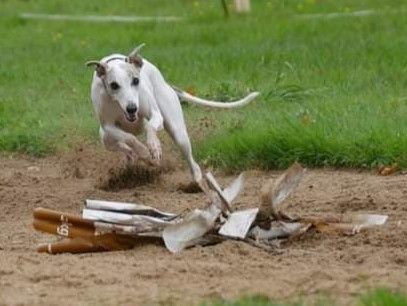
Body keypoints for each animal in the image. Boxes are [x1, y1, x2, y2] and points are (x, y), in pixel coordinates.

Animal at [87, 44, 260, 186]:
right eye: (114, 85)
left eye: (135, 81)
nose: (131, 108)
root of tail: (166, 83)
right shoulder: (108, 126)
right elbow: (129, 138)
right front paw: (143, 151)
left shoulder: (155, 114)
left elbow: (151, 126)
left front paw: (154, 147)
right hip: (106, 139)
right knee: (122, 145)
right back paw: (133, 156)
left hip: (178, 132)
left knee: (190, 159)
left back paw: (197, 180)